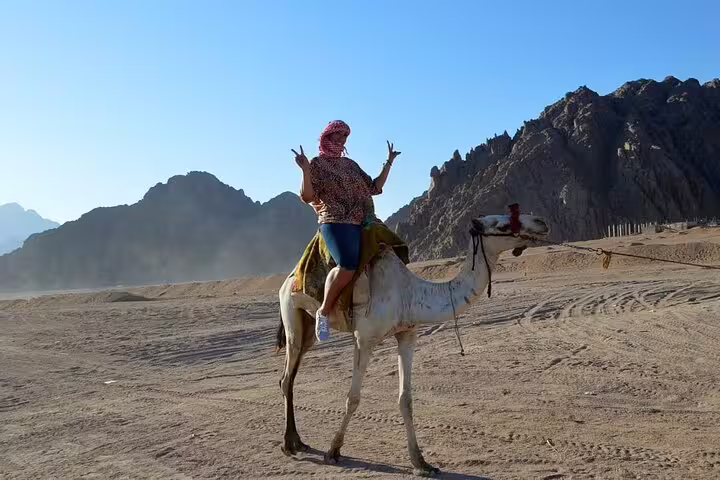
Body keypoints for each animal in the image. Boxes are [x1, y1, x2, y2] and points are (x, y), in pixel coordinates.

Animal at [275, 211, 549, 476]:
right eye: (502, 226)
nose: (541, 222)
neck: (410, 292)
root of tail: (288, 279)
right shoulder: (364, 339)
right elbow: (353, 398)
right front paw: (333, 451)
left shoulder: (407, 335)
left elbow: (405, 399)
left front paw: (421, 462)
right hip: (291, 314)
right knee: (288, 377)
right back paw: (289, 444)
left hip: (308, 328)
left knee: (289, 376)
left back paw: (298, 441)